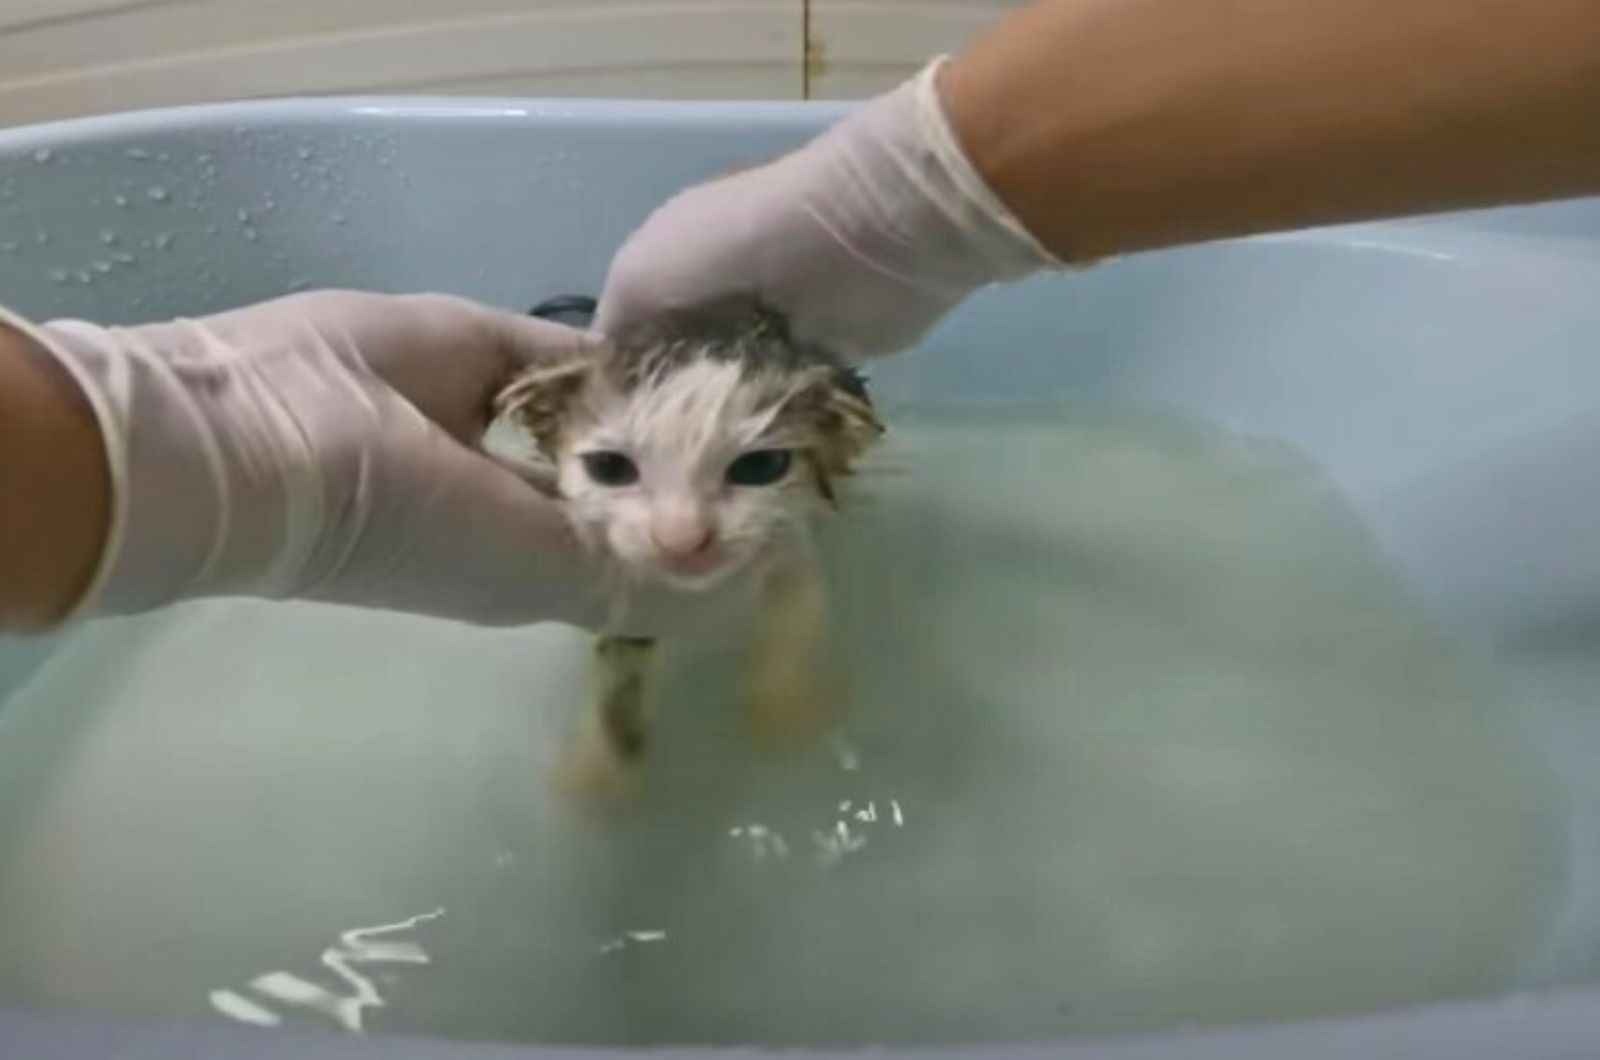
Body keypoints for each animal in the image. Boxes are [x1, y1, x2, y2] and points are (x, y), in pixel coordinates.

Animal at [492, 294, 883, 810]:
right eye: (609, 467)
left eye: (761, 466)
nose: (681, 536)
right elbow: (620, 679)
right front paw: (601, 777)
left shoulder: (792, 554)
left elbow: (795, 618)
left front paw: (782, 712)